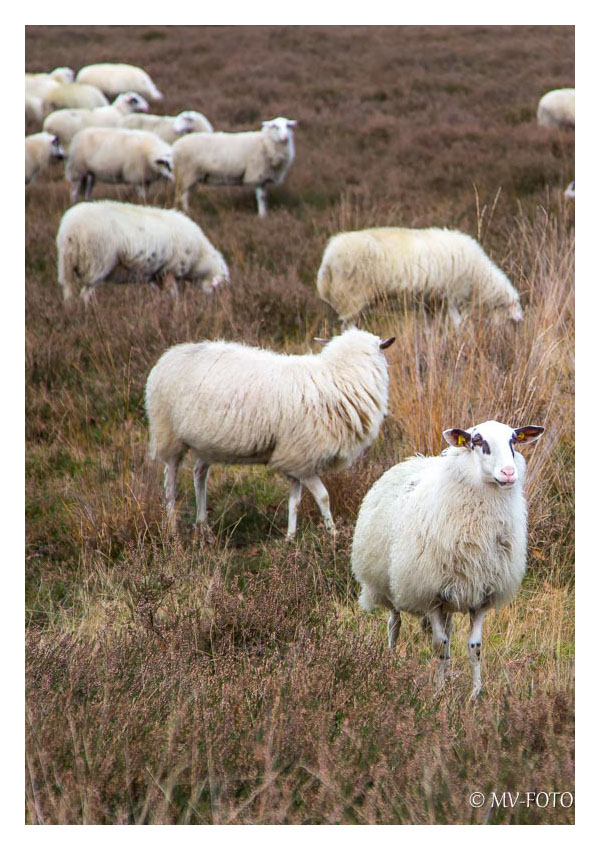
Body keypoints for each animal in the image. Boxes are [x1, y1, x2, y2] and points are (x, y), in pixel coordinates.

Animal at [56, 199, 230, 304]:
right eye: (220, 289)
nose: (218, 304)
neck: (201, 259)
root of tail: (71, 229)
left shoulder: (158, 276)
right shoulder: (169, 271)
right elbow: (173, 294)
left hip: (66, 265)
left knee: (68, 292)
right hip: (97, 262)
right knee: (85, 293)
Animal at [145, 330, 396, 536]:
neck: (338, 379)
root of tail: (168, 356)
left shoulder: (295, 458)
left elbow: (294, 501)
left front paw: (291, 538)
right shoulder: (302, 457)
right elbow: (323, 496)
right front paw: (333, 534)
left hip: (205, 443)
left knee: (199, 474)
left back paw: (203, 526)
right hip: (168, 434)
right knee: (170, 483)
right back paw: (172, 529)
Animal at [316, 225, 524, 328]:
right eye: (512, 321)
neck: (479, 277)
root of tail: (327, 260)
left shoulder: (432, 301)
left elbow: (430, 326)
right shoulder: (452, 294)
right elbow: (457, 322)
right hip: (352, 297)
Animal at [352, 420, 544, 696]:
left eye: (513, 441)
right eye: (478, 440)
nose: (508, 473)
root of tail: (414, 459)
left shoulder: (481, 595)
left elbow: (475, 647)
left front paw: (475, 694)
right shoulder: (429, 594)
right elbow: (439, 646)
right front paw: (439, 693)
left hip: (450, 595)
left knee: (449, 630)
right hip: (390, 583)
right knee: (394, 623)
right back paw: (389, 661)